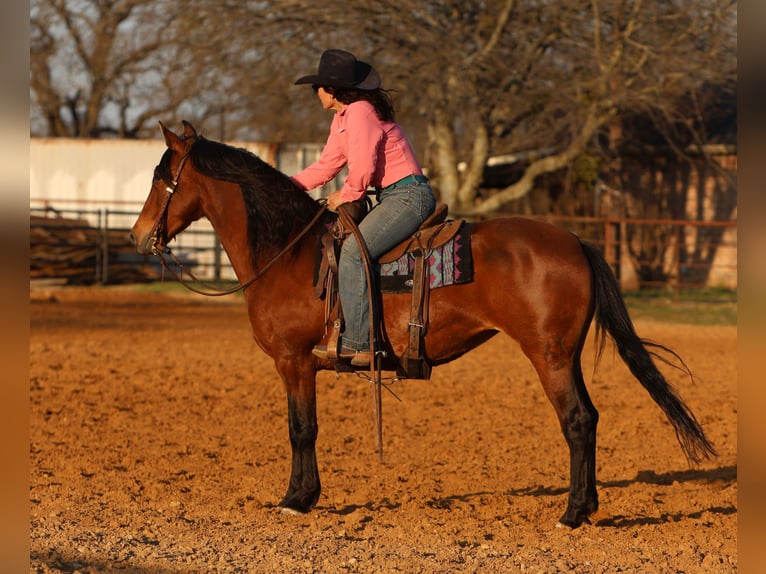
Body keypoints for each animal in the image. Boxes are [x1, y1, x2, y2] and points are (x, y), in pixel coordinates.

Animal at [130, 122, 712, 532]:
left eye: (162, 179)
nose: (138, 236)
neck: (288, 252)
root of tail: (575, 241)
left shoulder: (294, 361)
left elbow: (301, 429)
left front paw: (296, 500)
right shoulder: (300, 364)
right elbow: (304, 430)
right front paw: (305, 496)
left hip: (548, 356)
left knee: (575, 421)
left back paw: (570, 514)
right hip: (565, 355)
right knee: (589, 418)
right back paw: (585, 507)